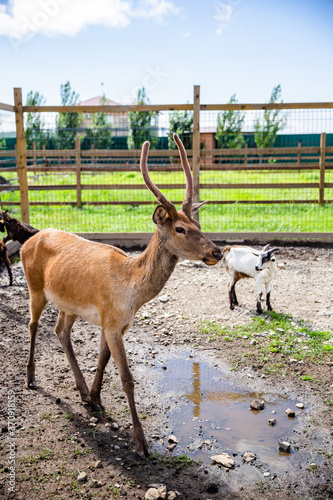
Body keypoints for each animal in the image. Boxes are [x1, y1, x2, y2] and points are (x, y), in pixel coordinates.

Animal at [22, 134, 222, 458]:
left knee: (60, 330)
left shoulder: (113, 323)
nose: (217, 252)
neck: (131, 292)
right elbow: (127, 379)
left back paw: (80, 390)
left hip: (68, 305)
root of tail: (31, 238)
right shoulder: (112, 322)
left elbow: (102, 360)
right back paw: (30, 378)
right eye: (180, 228)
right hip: (35, 287)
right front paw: (141, 443)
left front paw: (94, 399)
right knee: (33, 325)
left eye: (199, 225)